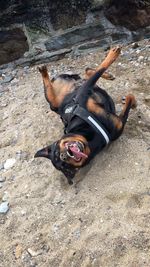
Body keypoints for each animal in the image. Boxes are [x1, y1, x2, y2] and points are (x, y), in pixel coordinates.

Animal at [34, 47, 137, 185]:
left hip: (58, 101)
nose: (63, 156)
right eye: (65, 166)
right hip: (55, 102)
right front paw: (132, 102)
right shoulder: (119, 123)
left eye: (56, 152)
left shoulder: (83, 92)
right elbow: (130, 97)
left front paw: (112, 54)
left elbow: (101, 68)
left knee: (87, 72)